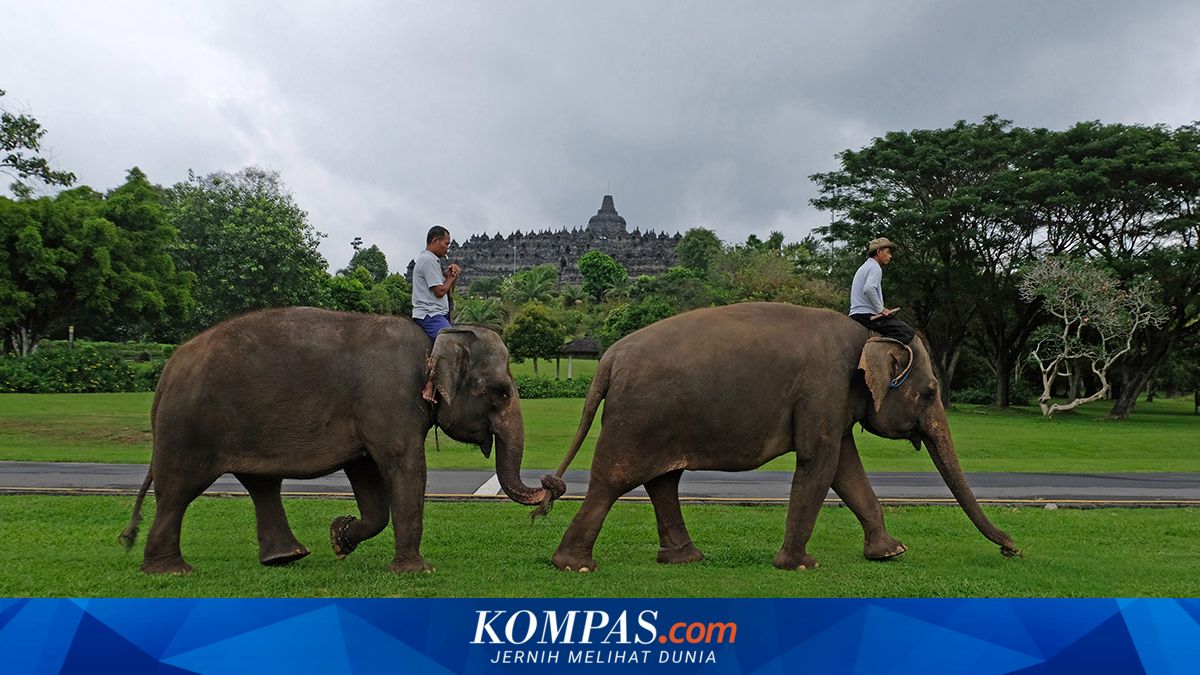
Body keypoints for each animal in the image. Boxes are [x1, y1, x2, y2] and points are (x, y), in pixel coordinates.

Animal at [119, 307, 564, 574]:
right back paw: (171, 570)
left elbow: (367, 478)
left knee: (261, 484)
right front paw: (415, 571)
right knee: (179, 489)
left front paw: (340, 537)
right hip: (189, 427)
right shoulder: (389, 400)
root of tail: (168, 369)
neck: (437, 340)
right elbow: (404, 467)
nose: (551, 483)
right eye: (501, 393)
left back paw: (286, 558)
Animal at [538, 302, 1019, 572]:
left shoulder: (833, 400)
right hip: (637, 419)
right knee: (612, 481)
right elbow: (819, 463)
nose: (1013, 549)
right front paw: (801, 566)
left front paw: (891, 553)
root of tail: (608, 358)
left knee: (663, 482)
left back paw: (686, 560)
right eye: (931, 392)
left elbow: (846, 468)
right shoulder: (824, 387)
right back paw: (575, 568)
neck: (868, 335)